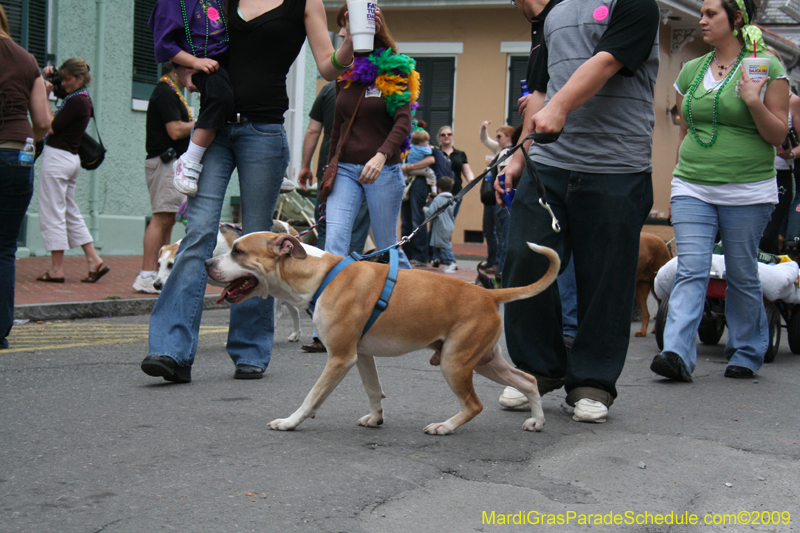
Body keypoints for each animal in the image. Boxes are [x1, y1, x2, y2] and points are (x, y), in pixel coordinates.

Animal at [203, 233, 560, 436]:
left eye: (237, 251)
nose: (206, 262)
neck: (320, 276)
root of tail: (488, 294)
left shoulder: (340, 358)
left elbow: (312, 396)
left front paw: (290, 422)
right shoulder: (361, 355)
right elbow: (373, 391)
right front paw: (376, 419)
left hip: (455, 362)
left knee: (474, 405)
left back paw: (444, 426)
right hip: (485, 361)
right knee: (528, 380)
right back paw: (537, 422)